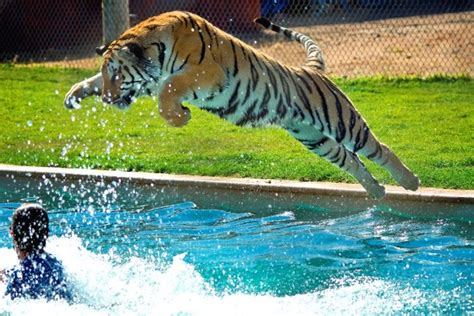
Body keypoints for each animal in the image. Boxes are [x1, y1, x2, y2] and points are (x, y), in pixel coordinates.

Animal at [63, 11, 418, 199]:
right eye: (107, 75)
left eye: (117, 74)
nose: (108, 100)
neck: (155, 46)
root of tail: (311, 69)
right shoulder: (152, 79)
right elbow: (93, 81)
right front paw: (74, 95)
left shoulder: (204, 74)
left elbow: (167, 92)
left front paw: (181, 117)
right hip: (314, 138)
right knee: (350, 160)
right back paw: (376, 191)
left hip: (341, 120)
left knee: (378, 149)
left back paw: (410, 182)